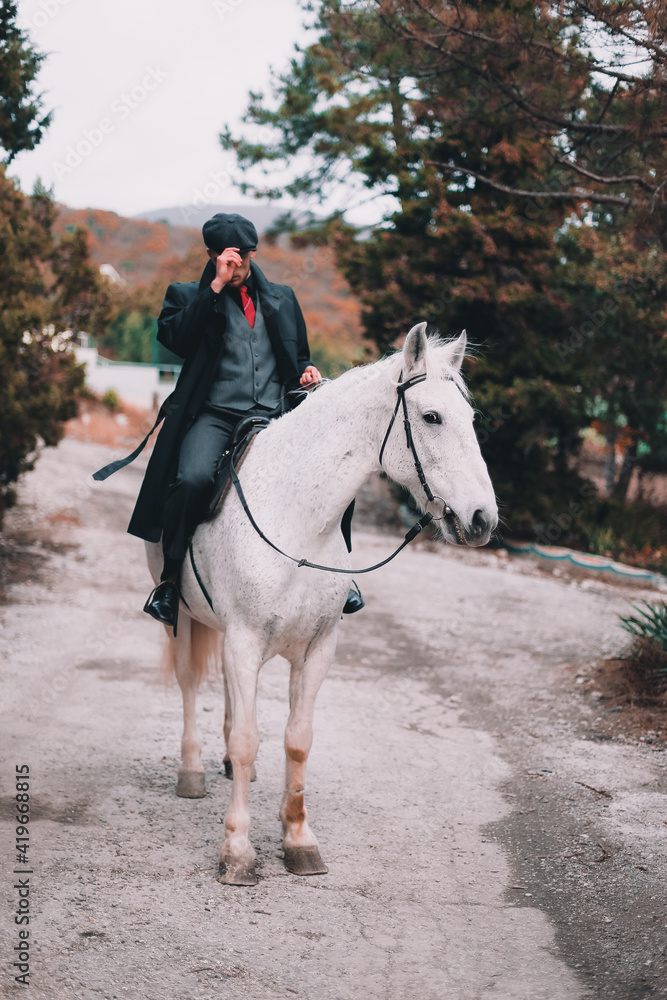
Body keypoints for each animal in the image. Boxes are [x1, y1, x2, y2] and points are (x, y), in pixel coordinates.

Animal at [145, 322, 498, 885]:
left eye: (469, 418)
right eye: (431, 417)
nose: (483, 518)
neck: (298, 518)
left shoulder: (316, 649)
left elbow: (297, 739)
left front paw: (298, 838)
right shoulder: (245, 642)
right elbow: (249, 738)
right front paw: (237, 850)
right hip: (179, 619)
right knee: (188, 685)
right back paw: (192, 770)